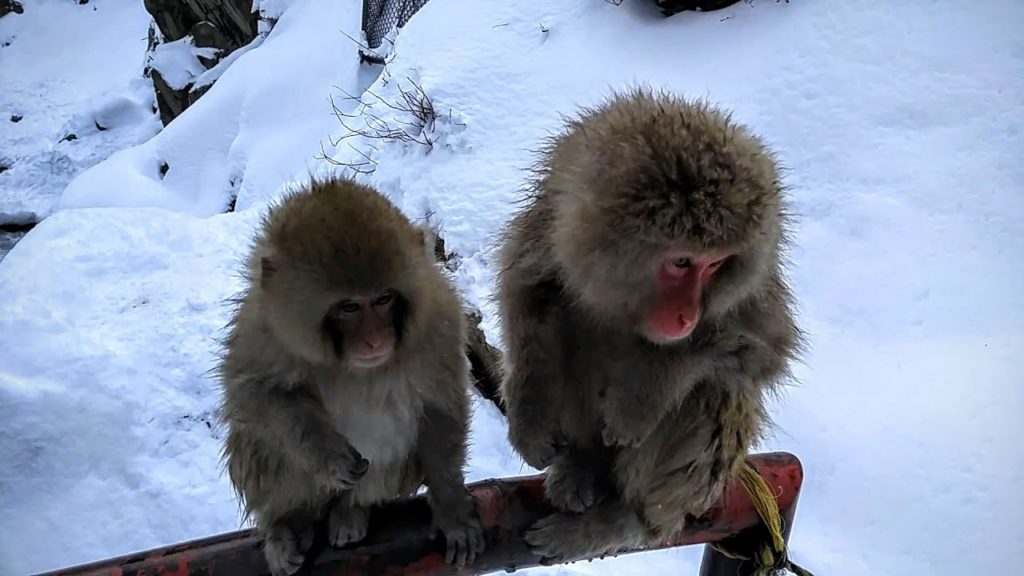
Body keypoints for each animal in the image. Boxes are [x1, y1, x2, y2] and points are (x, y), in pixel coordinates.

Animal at [217, 175, 484, 576]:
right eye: (349, 307)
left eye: (384, 299)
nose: (374, 339)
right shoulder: (261, 330)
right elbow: (257, 394)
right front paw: (329, 454)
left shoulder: (440, 324)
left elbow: (441, 408)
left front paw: (452, 508)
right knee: (259, 444)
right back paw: (287, 524)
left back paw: (350, 511)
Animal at [495, 88, 801, 564]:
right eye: (682, 262)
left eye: (715, 265)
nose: (687, 316)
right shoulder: (552, 225)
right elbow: (529, 293)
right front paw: (528, 414)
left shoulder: (755, 289)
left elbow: (765, 350)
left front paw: (646, 396)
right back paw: (581, 466)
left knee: (720, 392)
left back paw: (625, 520)